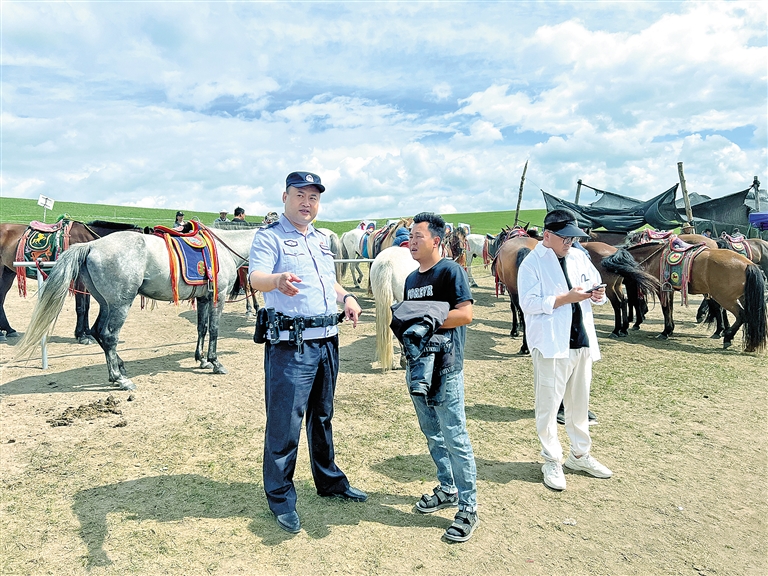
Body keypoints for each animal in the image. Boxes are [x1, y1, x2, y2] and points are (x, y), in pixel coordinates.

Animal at [0, 219, 140, 344]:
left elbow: (87, 306)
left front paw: (86, 333)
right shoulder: (80, 281)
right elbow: (81, 307)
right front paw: (81, 335)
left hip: (8, 272)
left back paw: (8, 330)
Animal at [16, 227, 256, 390]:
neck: (226, 249)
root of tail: (92, 245)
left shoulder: (204, 299)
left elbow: (202, 329)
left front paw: (202, 359)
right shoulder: (219, 296)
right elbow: (214, 330)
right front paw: (215, 362)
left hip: (106, 304)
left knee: (97, 331)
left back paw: (119, 368)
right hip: (120, 304)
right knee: (109, 336)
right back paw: (120, 378)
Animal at [622, 241, 767, 352]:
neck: (654, 258)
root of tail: (749, 264)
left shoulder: (661, 289)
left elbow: (665, 309)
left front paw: (665, 332)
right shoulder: (670, 290)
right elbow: (670, 310)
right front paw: (670, 330)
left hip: (725, 298)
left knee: (741, 315)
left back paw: (728, 337)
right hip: (743, 297)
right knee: (749, 315)